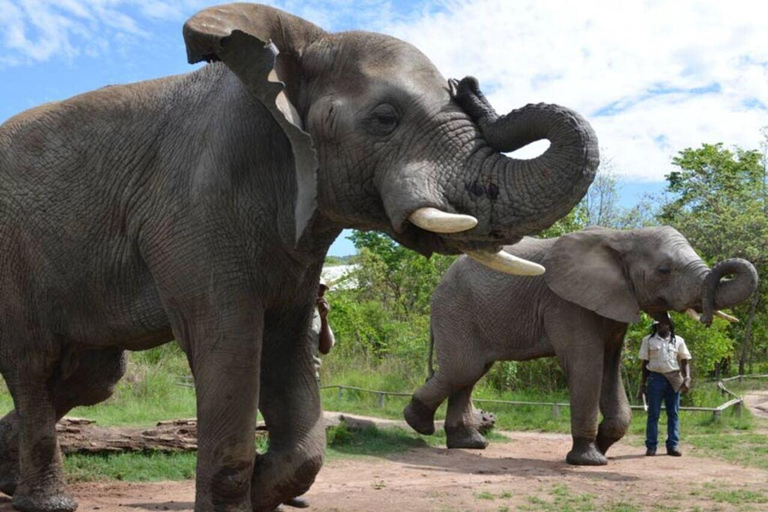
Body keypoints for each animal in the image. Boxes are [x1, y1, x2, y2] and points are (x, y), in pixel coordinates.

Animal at [0, 4, 600, 512]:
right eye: (385, 118)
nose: (470, 85)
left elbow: (287, 352)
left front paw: (267, 484)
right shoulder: (194, 209)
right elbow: (229, 342)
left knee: (92, 376)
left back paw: (9, 476)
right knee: (34, 363)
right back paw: (47, 502)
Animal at [404, 226, 760, 466]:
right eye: (664, 270)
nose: (706, 316)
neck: (624, 237)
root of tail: (438, 286)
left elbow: (609, 367)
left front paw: (602, 447)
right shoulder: (567, 303)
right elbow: (586, 365)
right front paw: (590, 460)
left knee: (471, 372)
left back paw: (468, 444)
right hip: (456, 309)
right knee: (463, 369)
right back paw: (418, 423)